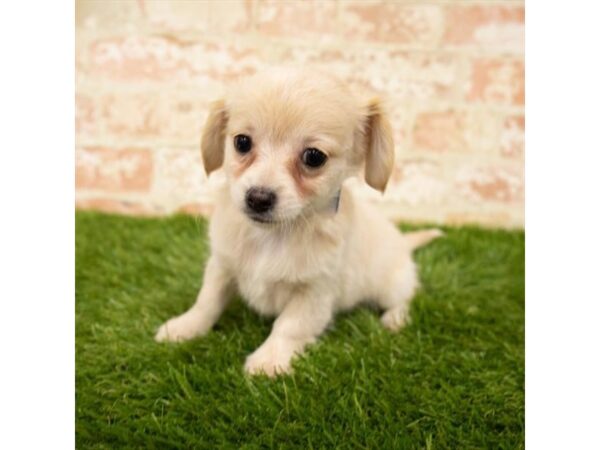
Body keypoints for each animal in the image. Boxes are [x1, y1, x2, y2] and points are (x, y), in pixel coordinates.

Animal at [157, 67, 442, 376]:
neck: (272, 236)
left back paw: (395, 319)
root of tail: (403, 242)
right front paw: (184, 327)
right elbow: (206, 302)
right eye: (241, 142)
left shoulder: (314, 293)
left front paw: (268, 362)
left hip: (392, 285)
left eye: (314, 157)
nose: (258, 198)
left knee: (405, 298)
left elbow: (289, 327)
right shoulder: (222, 266)